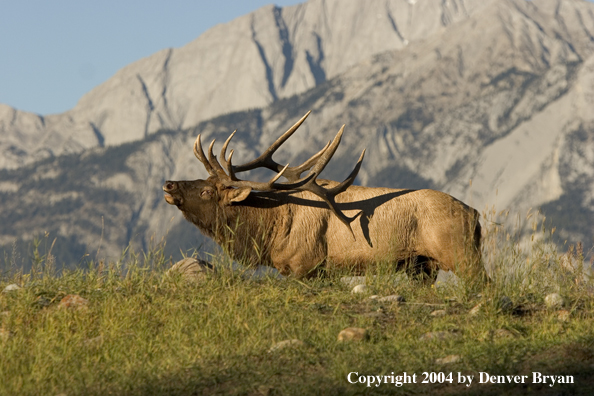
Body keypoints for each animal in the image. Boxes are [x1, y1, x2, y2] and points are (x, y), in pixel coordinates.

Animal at [163, 112, 486, 282]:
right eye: (204, 180)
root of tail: (475, 215)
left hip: (461, 253)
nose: (169, 184)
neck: (269, 231)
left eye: (206, 191)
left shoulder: (306, 266)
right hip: (422, 266)